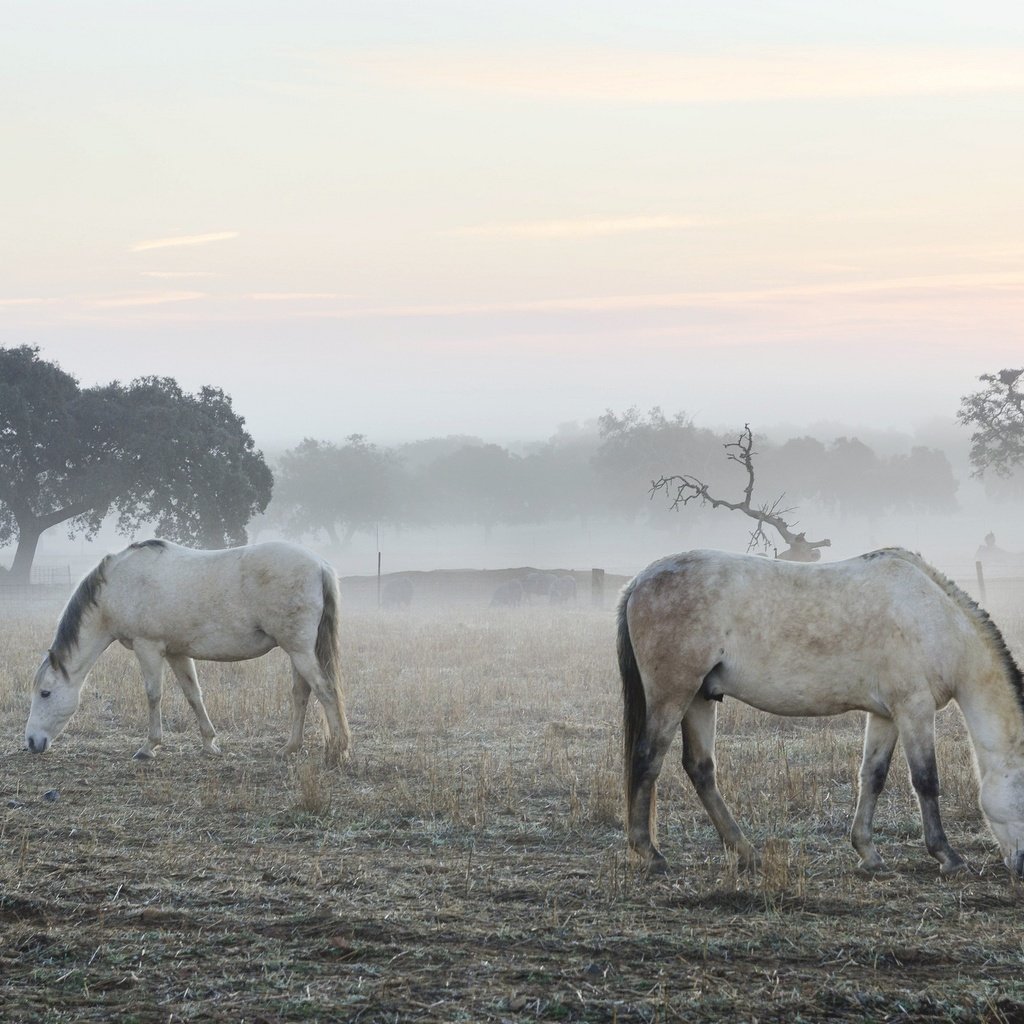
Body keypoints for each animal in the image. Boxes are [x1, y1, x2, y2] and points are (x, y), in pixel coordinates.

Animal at [24, 540, 352, 765]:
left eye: (45, 693)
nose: (31, 742)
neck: (119, 585)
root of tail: (319, 564)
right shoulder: (176, 653)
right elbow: (194, 695)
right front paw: (210, 743)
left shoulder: (148, 647)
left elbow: (153, 695)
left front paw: (149, 747)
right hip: (298, 652)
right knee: (301, 695)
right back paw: (290, 747)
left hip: (299, 651)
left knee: (326, 691)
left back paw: (339, 750)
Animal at [614, 548, 1024, 876]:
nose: (1021, 868)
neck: (935, 619)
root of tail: (639, 580)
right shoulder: (914, 708)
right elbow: (926, 780)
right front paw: (948, 857)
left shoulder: (887, 714)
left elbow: (872, 776)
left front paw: (868, 854)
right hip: (673, 694)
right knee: (648, 759)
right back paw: (650, 854)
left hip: (700, 697)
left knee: (700, 769)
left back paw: (747, 853)